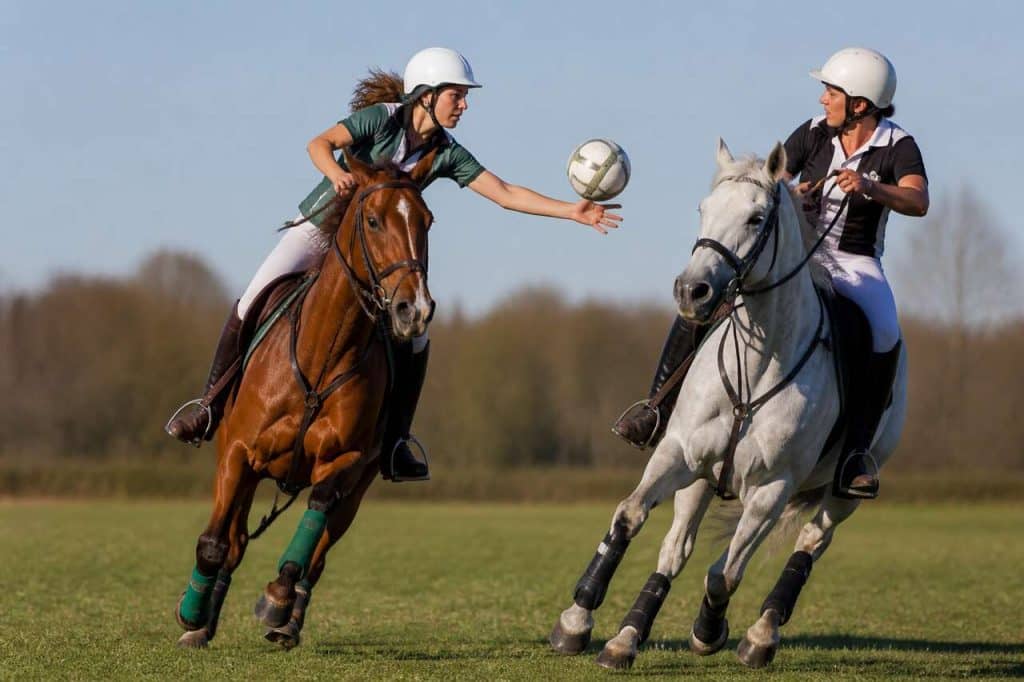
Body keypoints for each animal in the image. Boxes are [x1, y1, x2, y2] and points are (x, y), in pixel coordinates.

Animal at [173, 150, 436, 649]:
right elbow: (215, 543)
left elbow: (312, 527)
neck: (323, 352)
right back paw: (206, 617)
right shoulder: (238, 453)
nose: (414, 310)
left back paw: (287, 620)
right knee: (234, 542)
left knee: (318, 553)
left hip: (359, 487)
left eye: (427, 221)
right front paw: (192, 616)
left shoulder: (346, 460)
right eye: (373, 220)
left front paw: (276, 598)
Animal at [549, 139, 909, 670]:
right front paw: (579, 623)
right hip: (701, 478)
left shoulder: (772, 488)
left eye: (757, 218)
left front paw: (709, 631)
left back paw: (761, 634)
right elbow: (630, 515)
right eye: (703, 209)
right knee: (676, 548)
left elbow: (725, 574)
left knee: (809, 544)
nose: (691, 291)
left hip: (843, 493)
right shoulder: (679, 453)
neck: (757, 363)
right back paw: (630, 633)